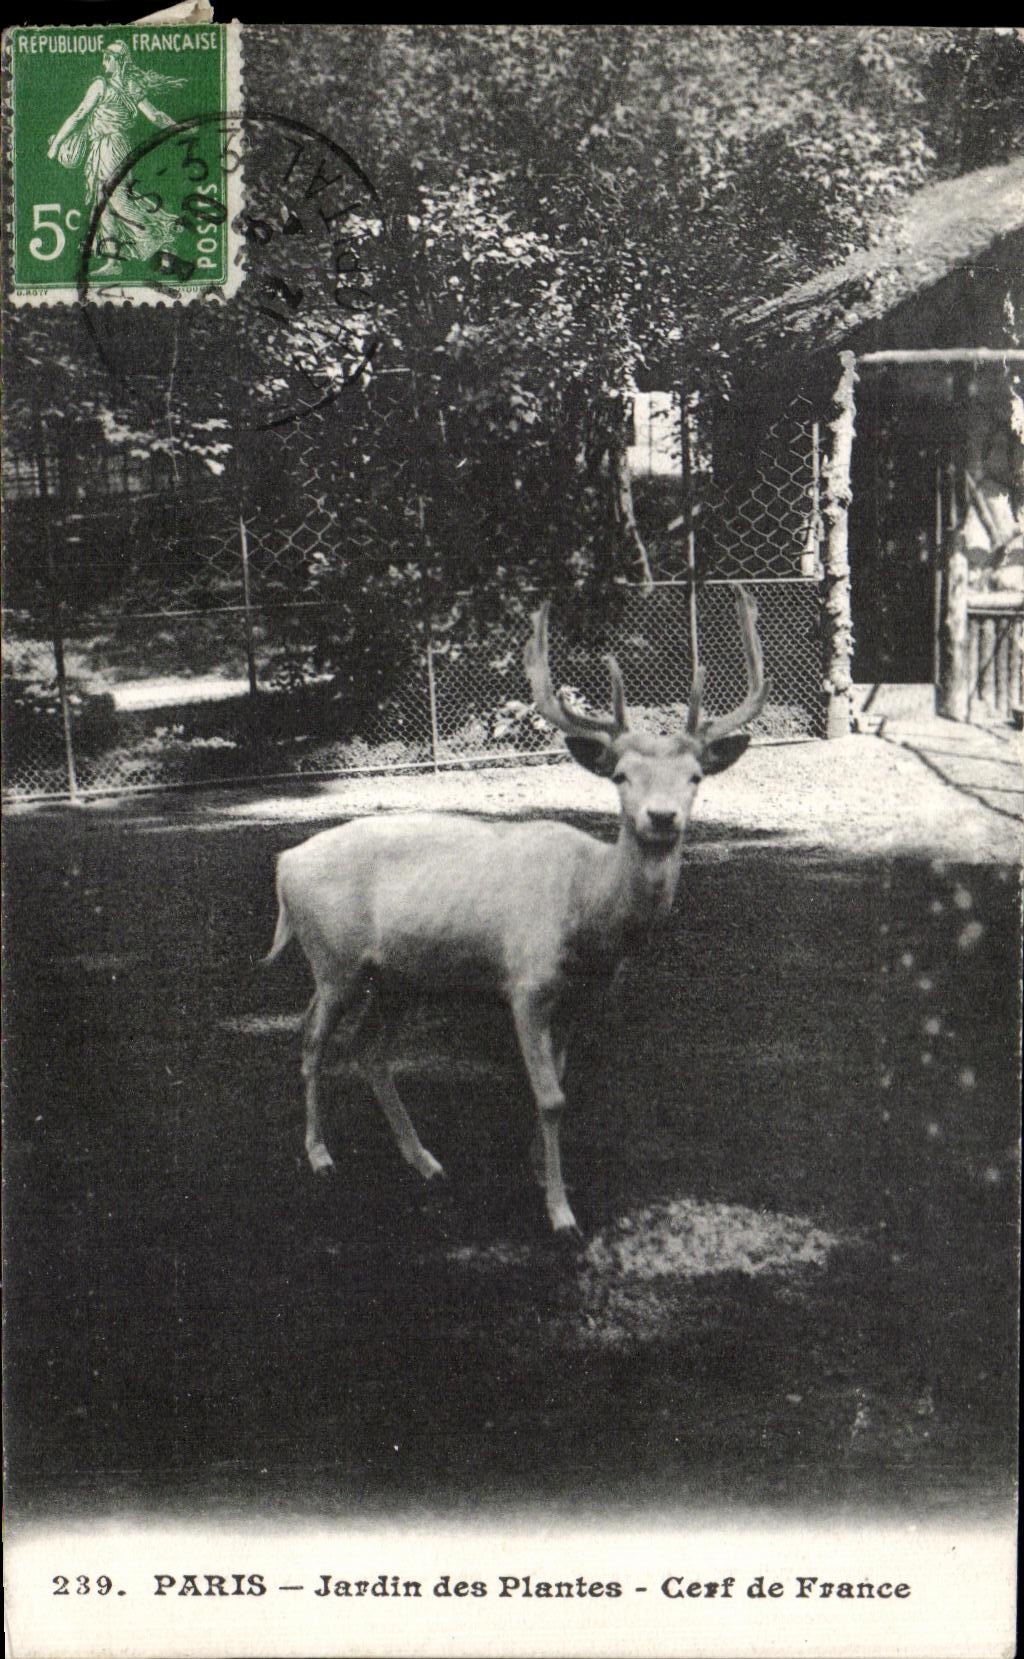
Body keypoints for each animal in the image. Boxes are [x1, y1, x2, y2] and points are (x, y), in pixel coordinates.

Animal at [265, 585, 767, 1237]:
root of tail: (284, 864)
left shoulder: (580, 997)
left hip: (400, 977)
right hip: (334, 960)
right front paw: (560, 1214)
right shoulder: (524, 986)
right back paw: (320, 1153)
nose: (661, 817)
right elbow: (550, 1097)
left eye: (696, 776)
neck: (589, 914)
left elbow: (561, 1084)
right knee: (309, 1039)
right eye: (621, 775)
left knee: (369, 1050)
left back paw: (424, 1160)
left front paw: (540, 1172)